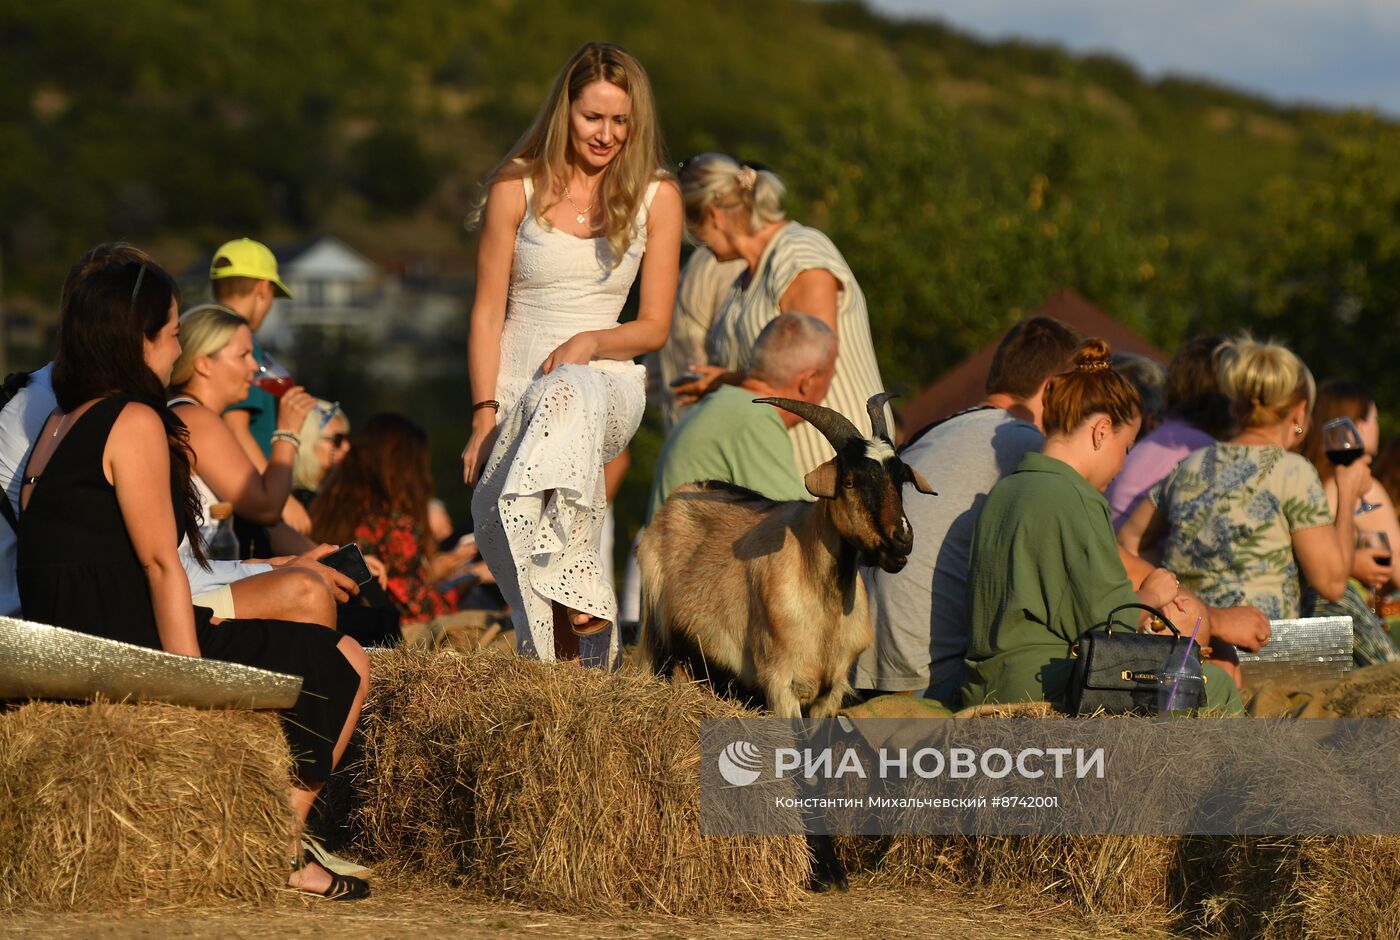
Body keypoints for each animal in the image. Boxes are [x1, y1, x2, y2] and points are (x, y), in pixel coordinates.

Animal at [641, 392, 935, 722]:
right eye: (848, 481)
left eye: (899, 481)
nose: (902, 540)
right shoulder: (779, 683)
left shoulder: (831, 692)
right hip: (659, 642)